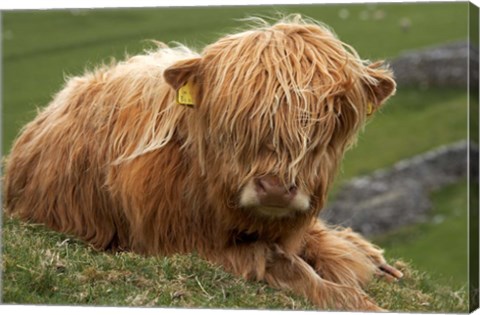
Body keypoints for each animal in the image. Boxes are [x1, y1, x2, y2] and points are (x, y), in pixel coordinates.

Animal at [3, 16, 402, 312]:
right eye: (236, 118)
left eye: (329, 119)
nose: (274, 188)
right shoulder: (181, 243)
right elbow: (284, 263)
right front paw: (354, 299)